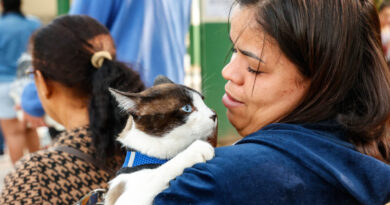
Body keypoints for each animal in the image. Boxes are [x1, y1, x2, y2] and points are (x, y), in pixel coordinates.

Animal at [105, 75, 218, 205]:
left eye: (203, 101)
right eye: (187, 108)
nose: (214, 114)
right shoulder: (123, 198)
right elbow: (159, 172)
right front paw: (196, 149)